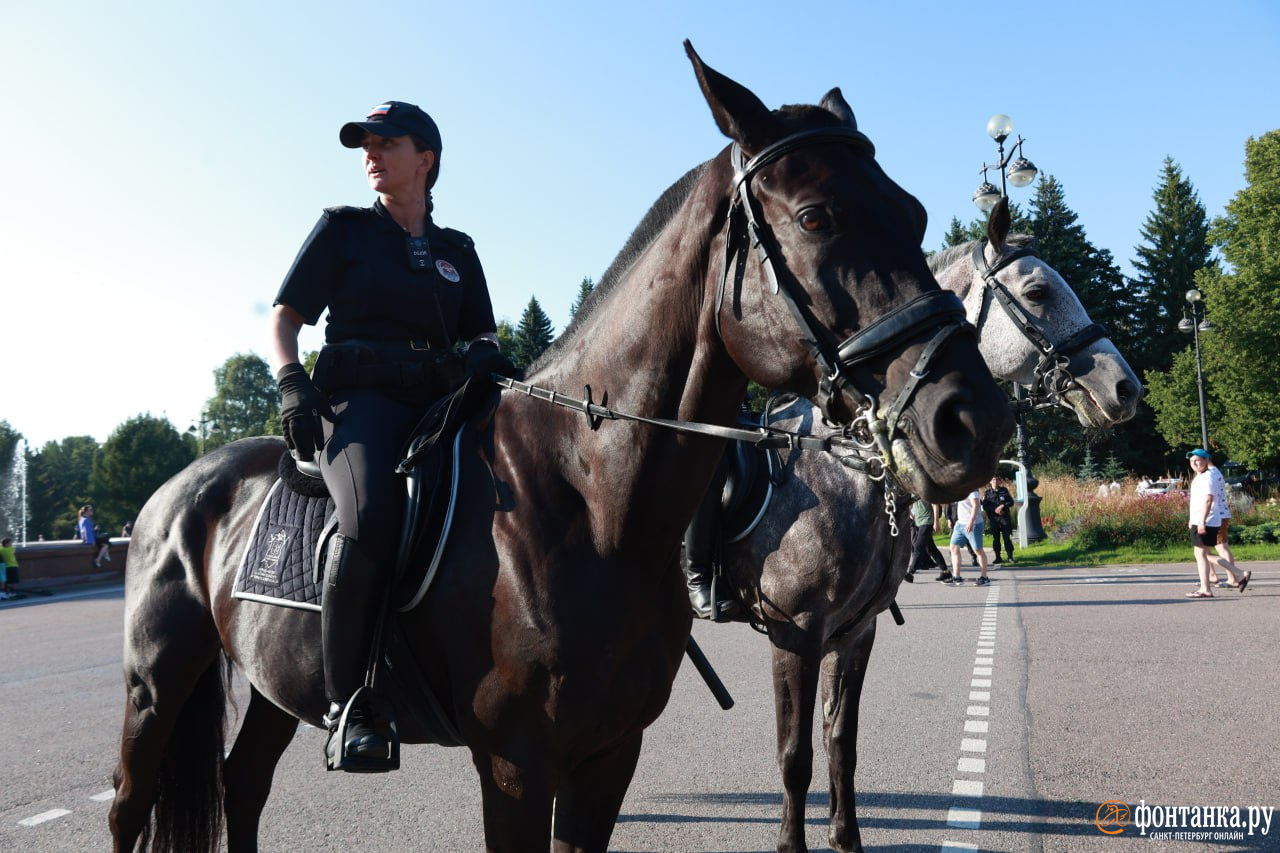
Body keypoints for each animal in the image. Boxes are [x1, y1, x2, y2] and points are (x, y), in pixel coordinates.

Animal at [107, 44, 1008, 850]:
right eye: (817, 216)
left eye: (915, 213)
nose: (972, 418)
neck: (593, 499)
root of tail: (174, 489)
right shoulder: (516, 763)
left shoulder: (609, 752)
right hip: (157, 680)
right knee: (129, 805)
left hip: (272, 682)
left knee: (243, 783)